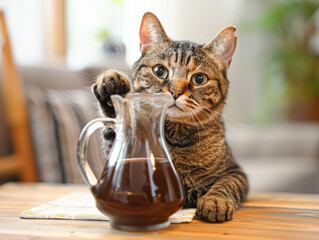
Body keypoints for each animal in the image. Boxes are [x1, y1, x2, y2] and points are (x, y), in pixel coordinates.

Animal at [91, 11, 249, 223]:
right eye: (160, 71)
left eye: (199, 79)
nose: (175, 91)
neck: (176, 137)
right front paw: (112, 87)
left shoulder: (235, 171)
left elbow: (226, 184)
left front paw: (215, 201)